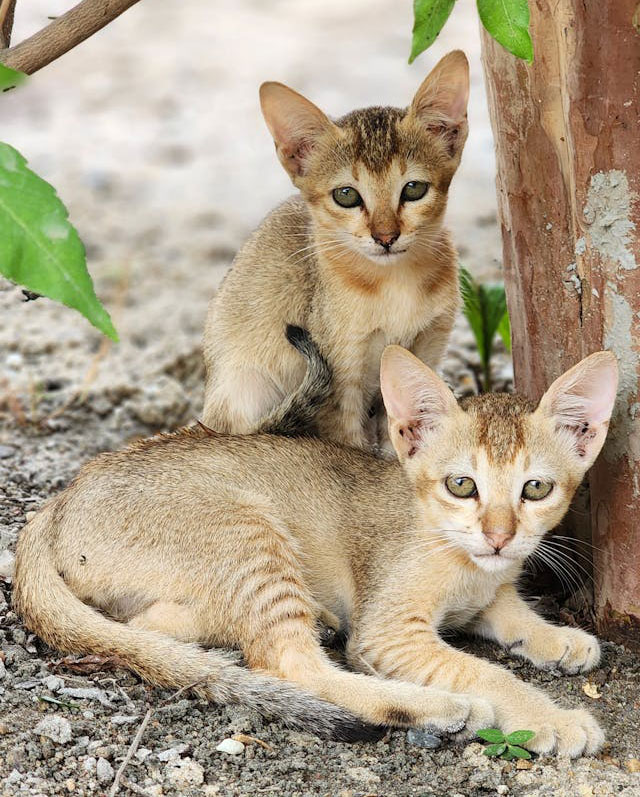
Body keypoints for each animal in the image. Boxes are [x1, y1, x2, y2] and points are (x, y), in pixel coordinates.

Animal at [13, 344, 616, 752]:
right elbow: (487, 671)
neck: (464, 563)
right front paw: (551, 718)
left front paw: (558, 638)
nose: (499, 535)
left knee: (152, 627)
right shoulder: (387, 630)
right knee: (289, 664)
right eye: (461, 485)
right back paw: (437, 707)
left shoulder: (488, 593)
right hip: (248, 530)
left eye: (535, 489)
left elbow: (511, 611)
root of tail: (62, 497)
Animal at [202, 51, 468, 454]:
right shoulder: (342, 373)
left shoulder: (427, 346)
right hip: (248, 386)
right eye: (346, 195)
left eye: (414, 189)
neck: (394, 285)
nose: (386, 236)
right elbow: (351, 441)